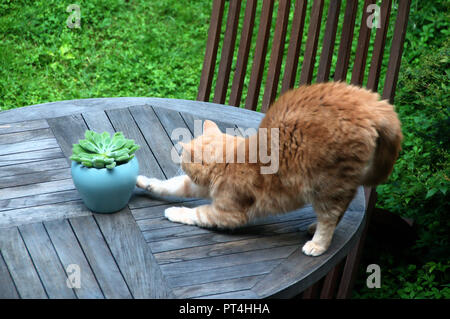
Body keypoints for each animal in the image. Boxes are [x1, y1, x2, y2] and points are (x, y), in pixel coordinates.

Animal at [136, 82, 400, 258]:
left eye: (182, 158)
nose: (178, 159)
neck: (231, 161)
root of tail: (371, 103)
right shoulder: (201, 187)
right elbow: (170, 185)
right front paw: (143, 182)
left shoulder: (227, 213)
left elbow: (196, 213)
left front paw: (173, 212)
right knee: (339, 211)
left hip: (327, 187)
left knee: (330, 216)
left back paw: (317, 243)